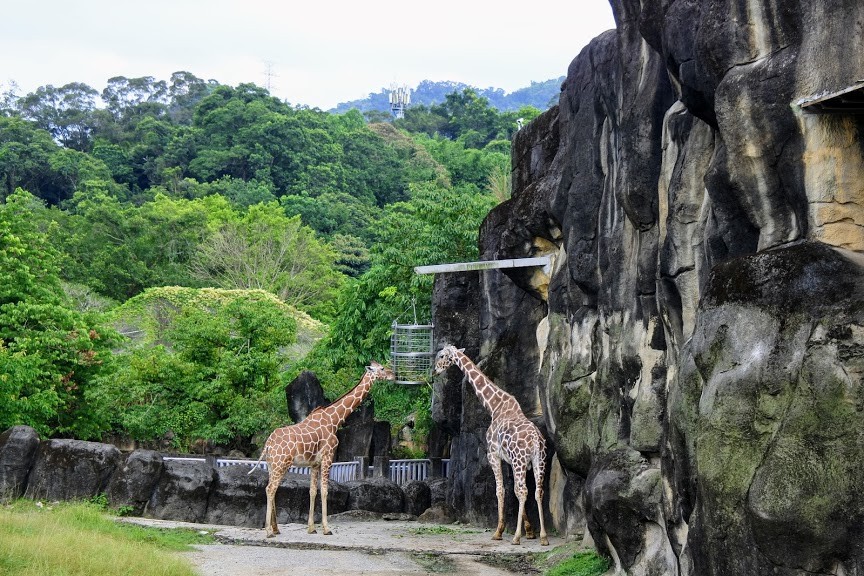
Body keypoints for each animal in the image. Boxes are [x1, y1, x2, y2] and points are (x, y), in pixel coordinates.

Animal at [436, 344, 552, 548]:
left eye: (441, 355)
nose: (435, 370)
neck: (495, 406)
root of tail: (535, 440)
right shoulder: (511, 460)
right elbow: (513, 490)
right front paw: (530, 530)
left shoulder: (493, 455)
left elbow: (501, 490)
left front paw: (499, 531)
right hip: (539, 460)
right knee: (538, 491)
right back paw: (544, 537)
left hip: (521, 460)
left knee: (524, 491)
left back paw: (516, 537)